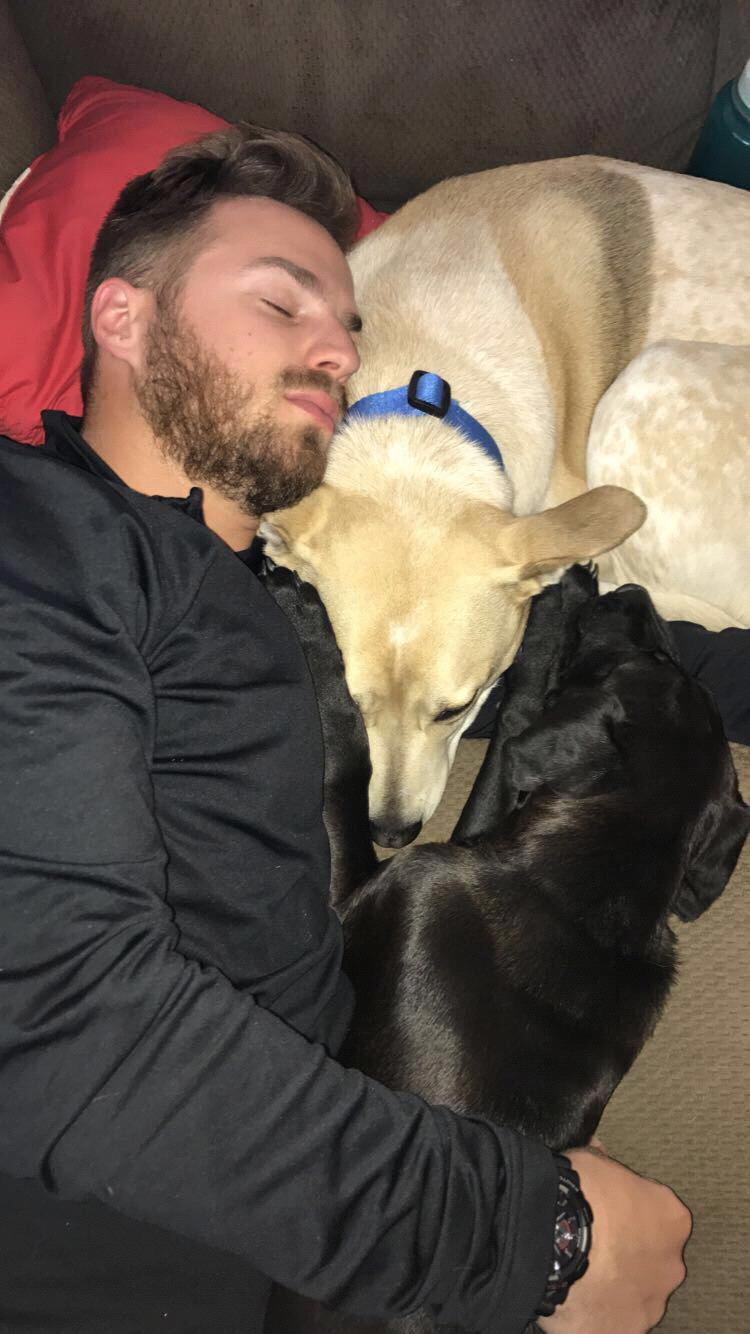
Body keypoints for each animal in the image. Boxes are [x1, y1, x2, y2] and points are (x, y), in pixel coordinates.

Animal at [263, 563, 750, 1334]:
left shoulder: (372, 899)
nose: (633, 594)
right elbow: (513, 733)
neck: (593, 890)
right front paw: (549, 618)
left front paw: (312, 628)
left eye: (648, 663)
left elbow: (345, 772)